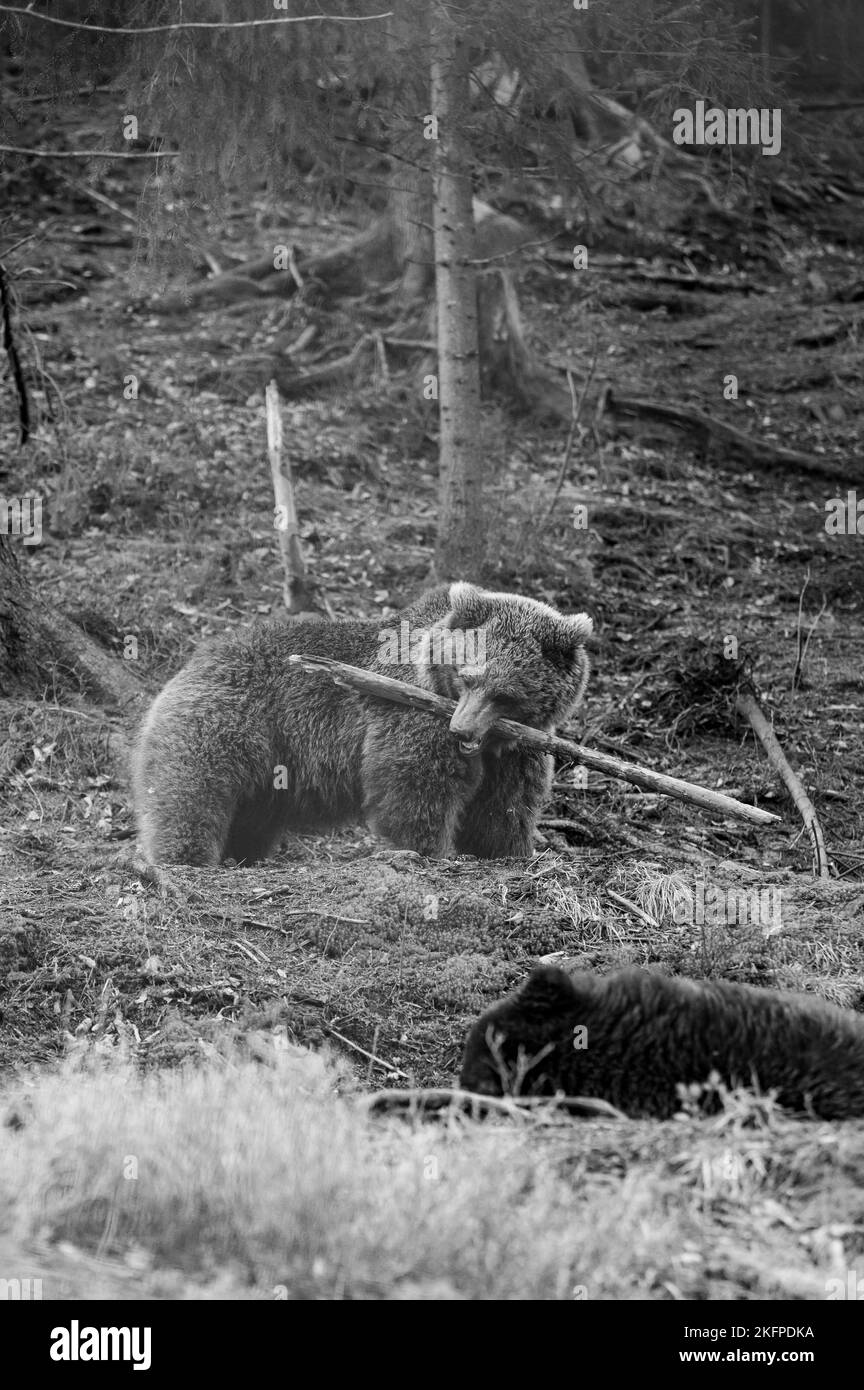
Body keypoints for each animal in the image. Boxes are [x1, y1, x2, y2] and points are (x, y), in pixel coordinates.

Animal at [134, 581, 594, 861]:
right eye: (467, 676)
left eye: (507, 695)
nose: (461, 729)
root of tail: (196, 657)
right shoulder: (410, 719)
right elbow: (414, 792)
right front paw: (430, 850)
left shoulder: (519, 750)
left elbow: (503, 809)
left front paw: (507, 850)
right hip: (228, 721)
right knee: (192, 794)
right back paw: (185, 858)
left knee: (249, 818)